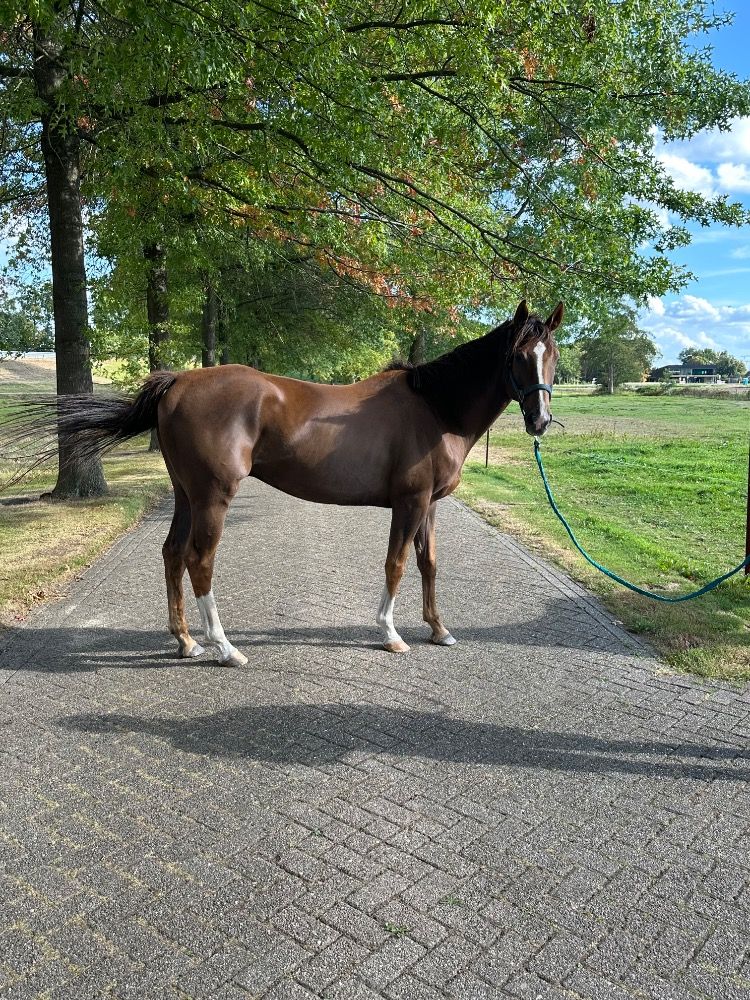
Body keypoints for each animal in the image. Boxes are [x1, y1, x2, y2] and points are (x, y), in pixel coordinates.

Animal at [7, 299, 561, 664]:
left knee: (171, 554)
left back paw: (186, 641)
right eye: (517, 355)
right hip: (213, 497)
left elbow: (428, 564)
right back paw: (224, 647)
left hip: (187, 494)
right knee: (198, 560)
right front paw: (390, 633)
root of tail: (179, 379)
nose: (539, 421)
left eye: (551, 354)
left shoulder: (429, 505)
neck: (434, 408)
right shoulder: (410, 502)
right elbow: (398, 564)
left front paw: (439, 629)